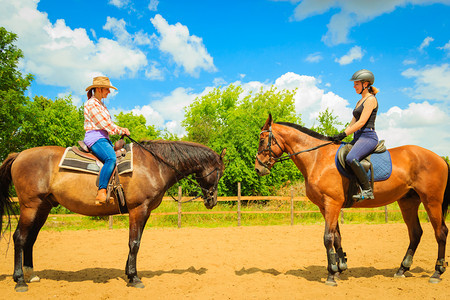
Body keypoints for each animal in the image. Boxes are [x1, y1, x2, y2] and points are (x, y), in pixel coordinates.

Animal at [0, 139, 225, 292]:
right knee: (20, 238)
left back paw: (31, 275)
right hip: (30, 206)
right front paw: (134, 278)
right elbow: (134, 243)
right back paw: (20, 280)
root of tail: (19, 155)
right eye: (219, 171)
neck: (155, 164)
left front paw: (129, 273)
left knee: (30, 239)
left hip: (43, 207)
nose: (211, 200)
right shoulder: (138, 209)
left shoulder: (145, 212)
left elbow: (136, 241)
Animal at [255, 114, 448, 286]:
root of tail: (439, 158)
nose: (258, 169)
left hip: (431, 201)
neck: (317, 157)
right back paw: (402, 269)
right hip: (408, 202)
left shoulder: (331, 203)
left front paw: (331, 275)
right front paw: (339, 268)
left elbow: (328, 237)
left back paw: (437, 272)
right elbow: (337, 237)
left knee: (441, 232)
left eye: (262, 140)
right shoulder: (325, 207)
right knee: (415, 232)